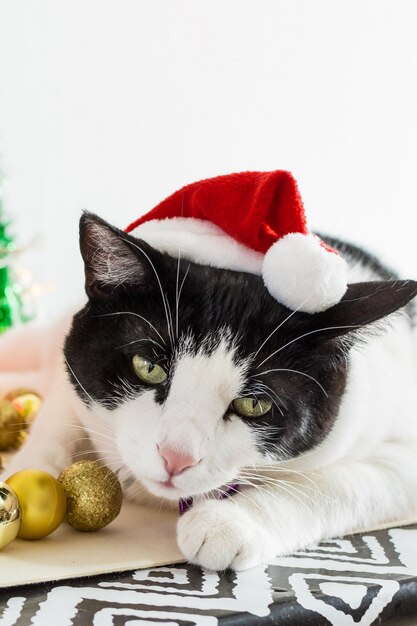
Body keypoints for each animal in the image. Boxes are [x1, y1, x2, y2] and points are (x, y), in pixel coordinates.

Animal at [0, 211, 416, 572]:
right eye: (148, 367)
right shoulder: (69, 376)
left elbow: (331, 485)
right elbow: (59, 415)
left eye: (254, 403)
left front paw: (227, 523)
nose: (175, 458)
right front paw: (28, 472)